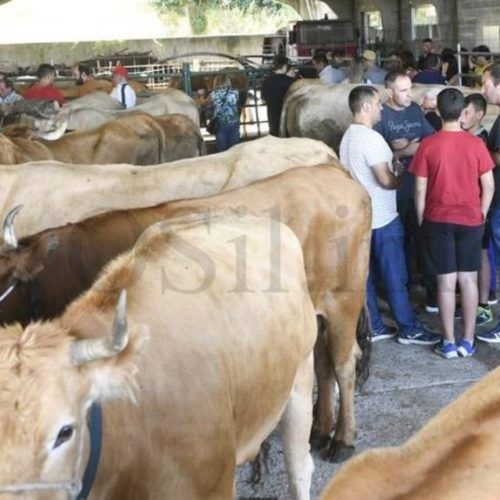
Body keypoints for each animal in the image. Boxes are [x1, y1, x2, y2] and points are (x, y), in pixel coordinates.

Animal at [0, 164, 372, 460]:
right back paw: (321, 430)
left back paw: (343, 439)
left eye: (3, 282)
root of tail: (332, 171)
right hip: (317, 312)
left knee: (343, 364)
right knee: (324, 364)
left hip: (343, 300)